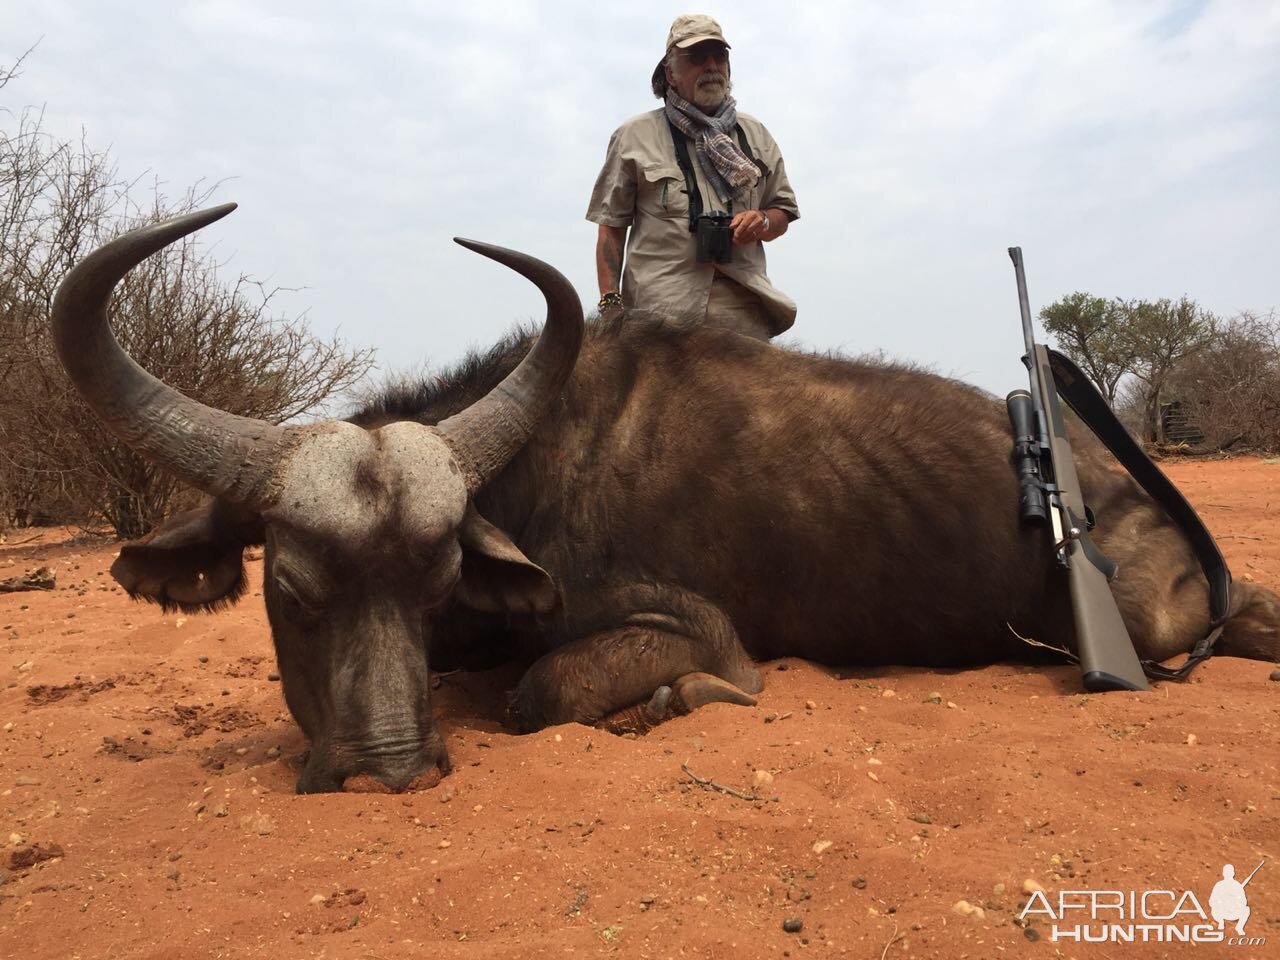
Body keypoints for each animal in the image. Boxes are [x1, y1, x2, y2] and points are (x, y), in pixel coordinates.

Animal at [52, 207, 1280, 793]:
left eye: (440, 577)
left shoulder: (691, 628)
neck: (542, 459)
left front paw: (678, 702)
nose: (388, 770)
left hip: (1147, 617)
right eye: (294, 588)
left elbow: (540, 693)